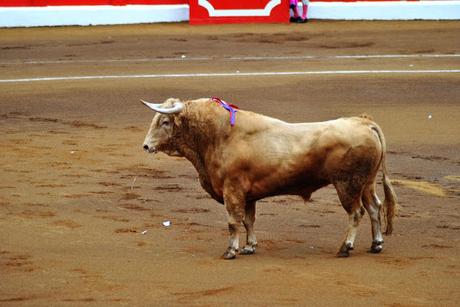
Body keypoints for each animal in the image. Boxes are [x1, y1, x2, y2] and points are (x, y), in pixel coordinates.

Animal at [142, 98, 398, 260]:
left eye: (164, 122)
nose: (145, 146)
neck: (219, 135)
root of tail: (364, 122)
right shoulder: (248, 196)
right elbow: (248, 221)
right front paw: (249, 247)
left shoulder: (232, 190)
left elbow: (233, 221)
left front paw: (231, 251)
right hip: (366, 183)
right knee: (375, 208)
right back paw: (376, 244)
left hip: (347, 185)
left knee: (356, 213)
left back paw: (345, 248)